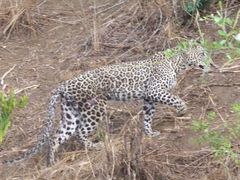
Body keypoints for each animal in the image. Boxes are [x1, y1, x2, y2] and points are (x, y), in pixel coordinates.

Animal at [2, 44, 208, 166]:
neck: (178, 64)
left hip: (70, 113)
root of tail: (63, 85)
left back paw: (51, 162)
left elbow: (148, 117)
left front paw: (150, 133)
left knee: (56, 136)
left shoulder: (149, 99)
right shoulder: (154, 91)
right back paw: (95, 146)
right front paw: (182, 110)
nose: (208, 60)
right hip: (95, 108)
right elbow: (175, 99)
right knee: (80, 132)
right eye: (201, 53)